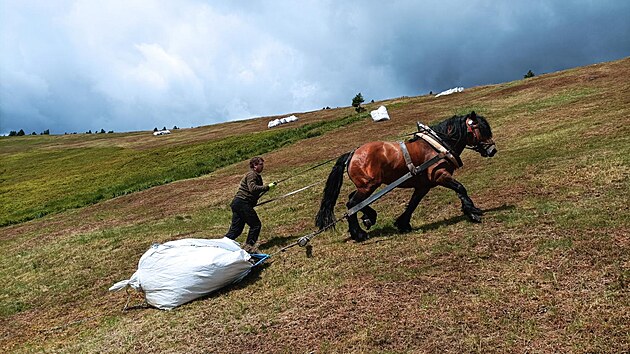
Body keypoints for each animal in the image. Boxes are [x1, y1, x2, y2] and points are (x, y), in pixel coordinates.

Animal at [316, 112, 498, 242]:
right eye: (481, 130)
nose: (493, 150)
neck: (438, 145)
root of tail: (352, 154)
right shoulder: (440, 175)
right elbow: (460, 187)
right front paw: (472, 211)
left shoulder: (423, 185)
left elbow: (413, 203)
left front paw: (402, 223)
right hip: (368, 185)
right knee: (352, 204)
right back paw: (359, 233)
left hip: (365, 186)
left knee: (354, 200)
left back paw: (368, 218)